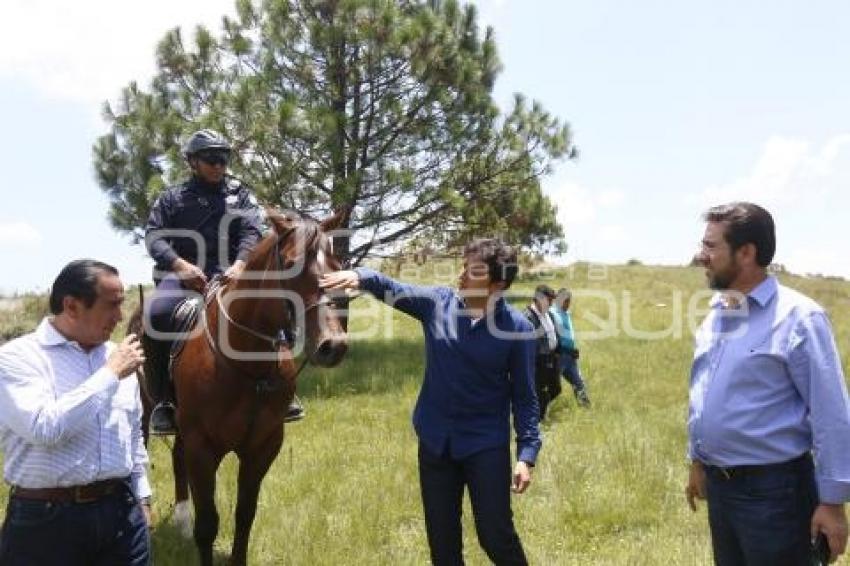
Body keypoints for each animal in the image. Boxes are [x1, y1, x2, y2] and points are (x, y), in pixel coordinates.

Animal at [135, 212, 344, 566]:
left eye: (336, 263)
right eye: (290, 264)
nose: (334, 346)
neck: (247, 367)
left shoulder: (263, 446)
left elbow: (245, 515)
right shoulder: (202, 447)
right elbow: (208, 524)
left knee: (177, 458)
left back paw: (181, 521)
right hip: (147, 412)